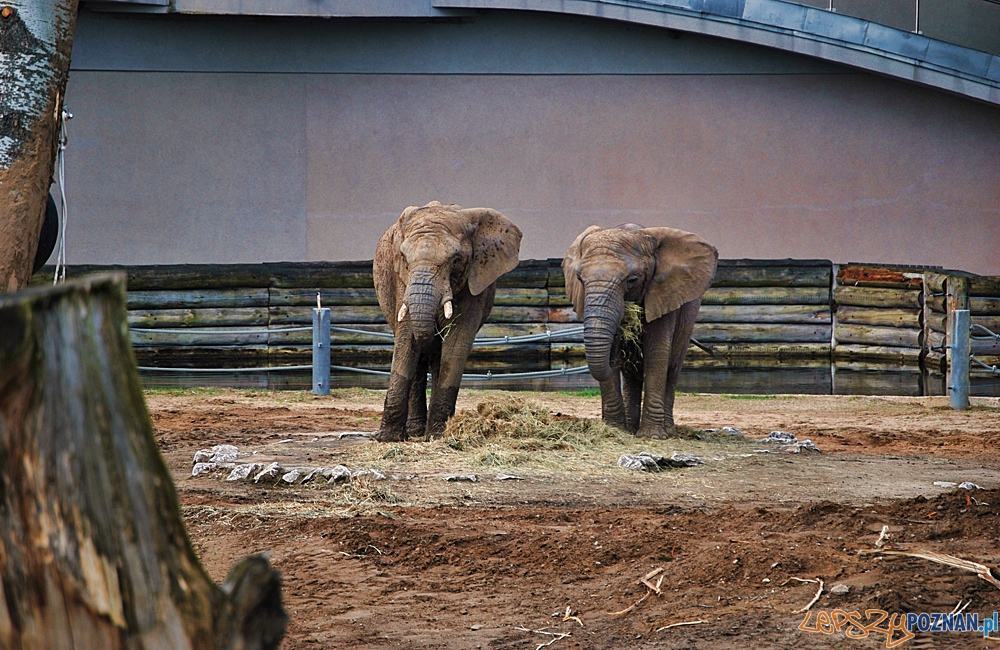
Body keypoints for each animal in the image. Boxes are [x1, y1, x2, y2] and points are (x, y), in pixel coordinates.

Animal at [370, 199, 524, 440]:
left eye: (456, 260)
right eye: (404, 259)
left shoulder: (474, 283)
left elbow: (455, 343)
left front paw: (437, 436)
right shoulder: (401, 282)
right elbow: (406, 340)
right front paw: (387, 439)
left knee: (437, 357)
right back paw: (415, 431)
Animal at [564, 221, 720, 436]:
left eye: (632, 280)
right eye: (580, 279)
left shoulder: (664, 294)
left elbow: (656, 351)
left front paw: (652, 435)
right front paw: (614, 429)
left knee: (672, 369)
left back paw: (667, 429)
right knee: (631, 375)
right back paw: (631, 427)